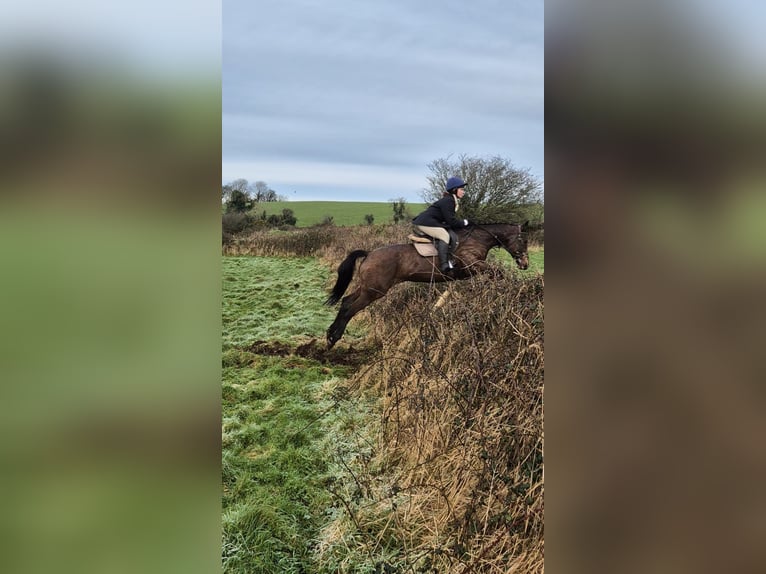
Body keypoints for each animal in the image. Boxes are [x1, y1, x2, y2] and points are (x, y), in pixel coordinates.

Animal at [326, 223, 536, 348]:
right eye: (524, 240)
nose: (525, 264)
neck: (479, 239)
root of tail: (369, 254)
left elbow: (494, 273)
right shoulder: (472, 265)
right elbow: (497, 272)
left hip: (367, 287)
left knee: (346, 302)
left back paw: (330, 335)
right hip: (374, 291)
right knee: (350, 308)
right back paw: (333, 338)